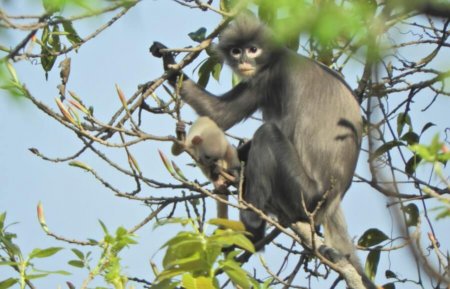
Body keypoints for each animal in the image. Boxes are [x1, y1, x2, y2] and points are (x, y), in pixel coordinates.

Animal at [150, 14, 372, 286]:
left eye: (253, 50)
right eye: (236, 51)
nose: (244, 60)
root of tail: (333, 199)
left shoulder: (273, 77)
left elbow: (227, 116)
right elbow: (220, 114)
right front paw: (167, 60)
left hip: (304, 195)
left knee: (267, 134)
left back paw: (252, 229)